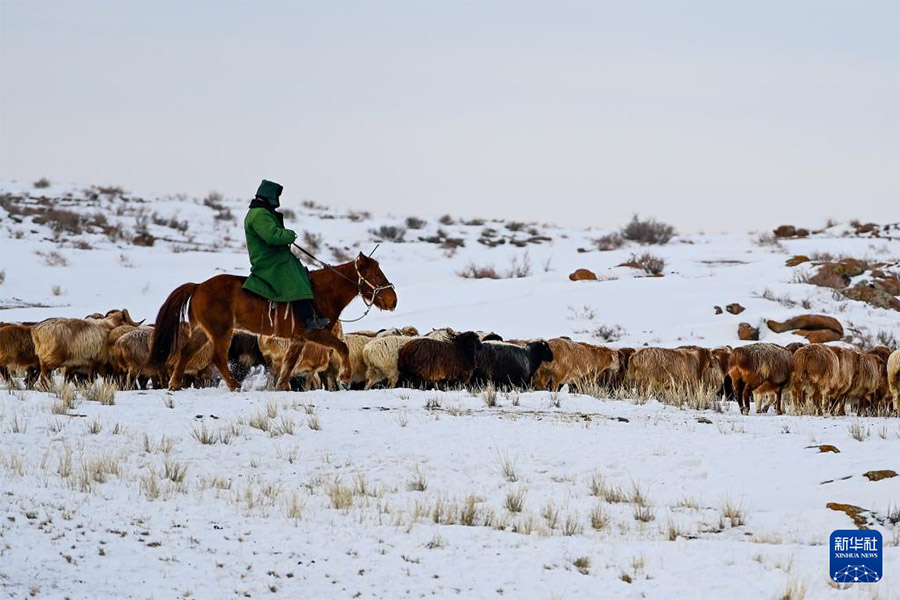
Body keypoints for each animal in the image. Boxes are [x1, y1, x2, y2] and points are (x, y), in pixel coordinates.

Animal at [149, 252, 396, 390]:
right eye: (376, 275)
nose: (393, 300)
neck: (322, 292)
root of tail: (198, 286)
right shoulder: (315, 333)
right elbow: (342, 347)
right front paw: (345, 378)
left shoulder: (298, 339)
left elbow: (289, 363)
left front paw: (282, 385)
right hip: (221, 332)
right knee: (218, 358)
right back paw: (234, 385)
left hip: (203, 331)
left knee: (186, 352)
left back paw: (174, 384)